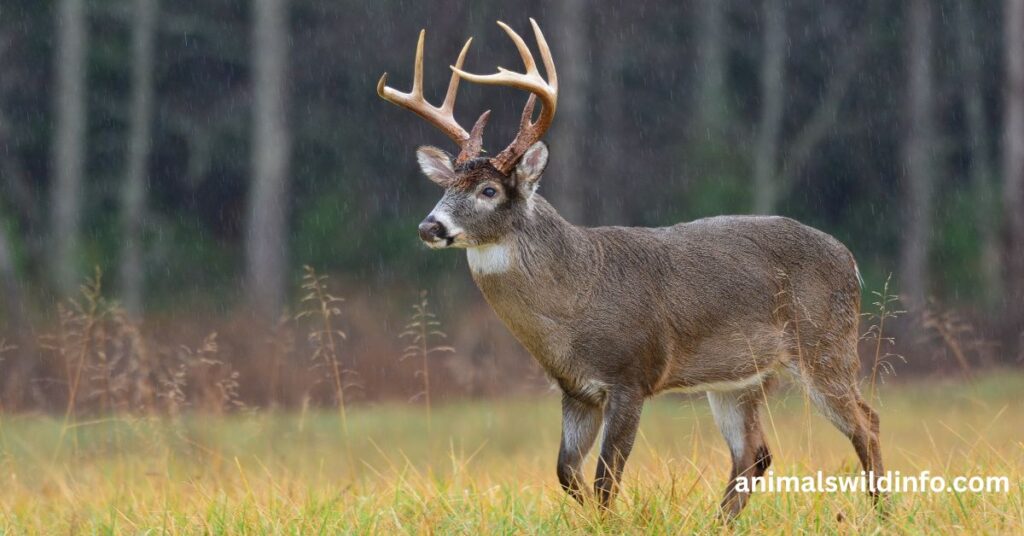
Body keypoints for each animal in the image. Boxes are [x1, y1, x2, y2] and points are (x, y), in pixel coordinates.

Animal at [377, 19, 884, 518]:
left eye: (488, 190)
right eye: (447, 186)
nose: (430, 225)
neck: (574, 300)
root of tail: (850, 260)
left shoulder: (632, 374)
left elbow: (606, 479)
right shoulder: (576, 390)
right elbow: (566, 473)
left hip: (824, 342)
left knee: (866, 421)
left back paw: (881, 512)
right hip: (740, 377)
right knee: (754, 454)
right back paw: (717, 524)